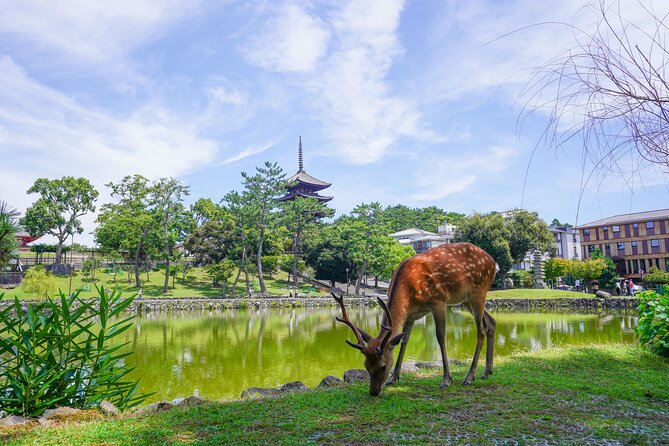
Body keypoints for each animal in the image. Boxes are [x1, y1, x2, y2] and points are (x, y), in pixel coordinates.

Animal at [334, 242, 496, 396]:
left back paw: (469, 377)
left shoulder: (438, 301)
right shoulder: (411, 315)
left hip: (478, 291)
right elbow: (404, 341)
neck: (410, 291)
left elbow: (440, 337)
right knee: (491, 323)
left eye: (383, 366)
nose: (373, 392)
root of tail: (493, 262)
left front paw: (446, 379)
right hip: (466, 300)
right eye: (366, 365)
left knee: (481, 330)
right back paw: (487, 372)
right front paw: (394, 379)